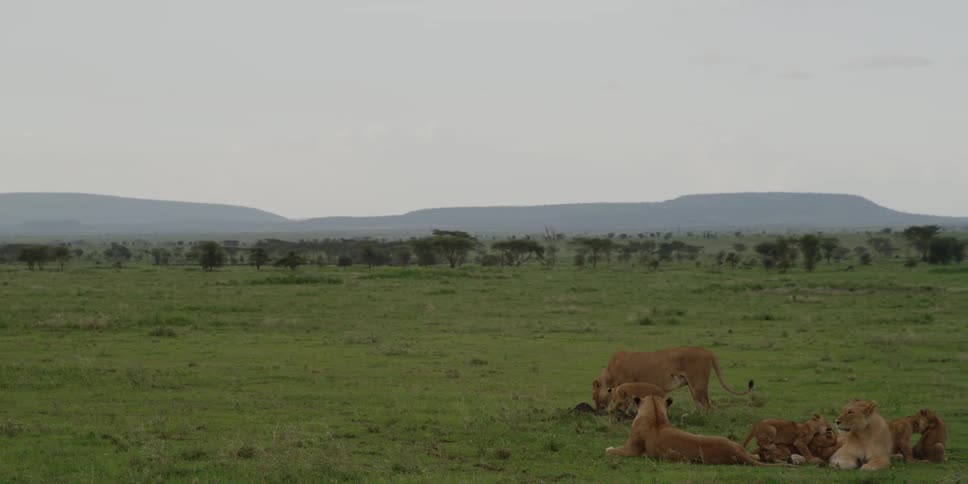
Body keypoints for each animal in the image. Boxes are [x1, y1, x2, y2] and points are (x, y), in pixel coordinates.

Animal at [592, 347, 753, 411]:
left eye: (594, 397)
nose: (598, 409)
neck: (610, 374)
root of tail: (708, 351)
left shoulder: (626, 386)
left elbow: (625, 405)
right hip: (692, 386)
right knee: (699, 405)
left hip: (698, 385)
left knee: (708, 406)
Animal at [606, 395, 787, 466]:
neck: (655, 416)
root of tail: (735, 451)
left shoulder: (632, 449)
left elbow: (611, 451)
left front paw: (608, 448)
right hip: (734, 444)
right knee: (755, 455)